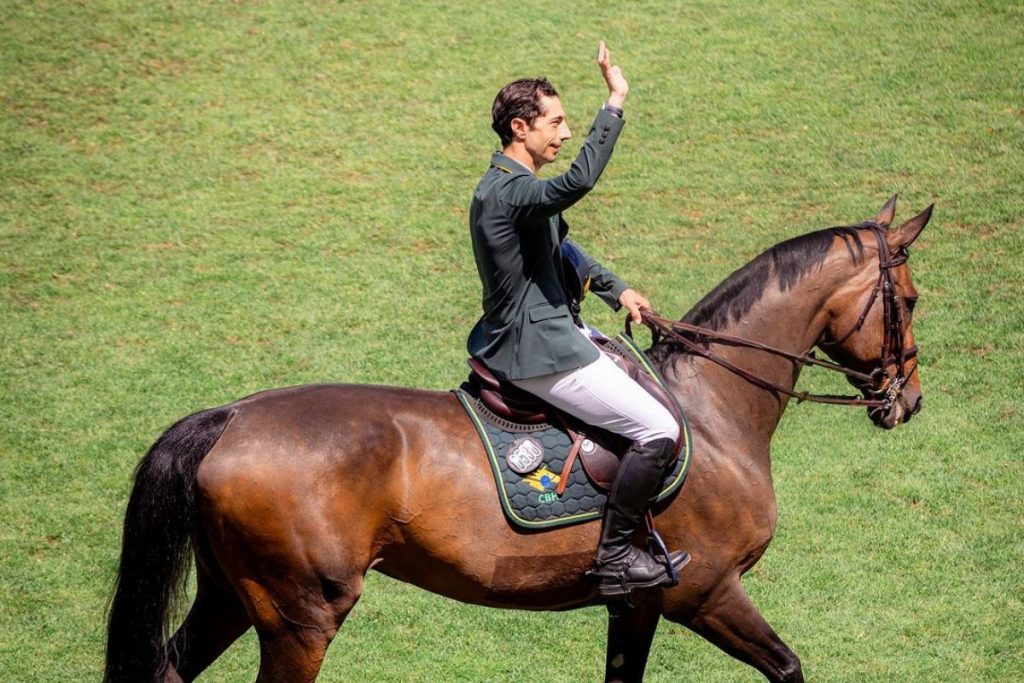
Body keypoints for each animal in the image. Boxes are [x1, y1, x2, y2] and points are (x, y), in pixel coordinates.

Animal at [108, 198, 933, 683]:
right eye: (913, 298)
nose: (909, 401)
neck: (711, 412)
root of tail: (230, 415)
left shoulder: (639, 604)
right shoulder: (707, 592)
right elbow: (789, 667)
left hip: (232, 596)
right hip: (301, 616)